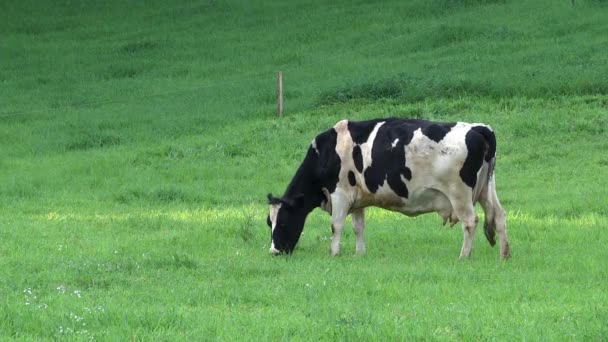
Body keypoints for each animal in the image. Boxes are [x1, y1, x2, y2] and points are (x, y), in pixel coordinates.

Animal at [268, 117, 510, 260]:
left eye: (283, 221)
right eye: (269, 223)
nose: (274, 251)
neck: (327, 152)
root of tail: (479, 128)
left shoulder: (340, 193)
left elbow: (336, 226)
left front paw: (334, 253)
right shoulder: (357, 198)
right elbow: (358, 227)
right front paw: (360, 253)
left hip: (459, 194)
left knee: (470, 222)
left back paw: (464, 256)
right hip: (486, 189)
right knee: (498, 215)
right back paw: (504, 254)